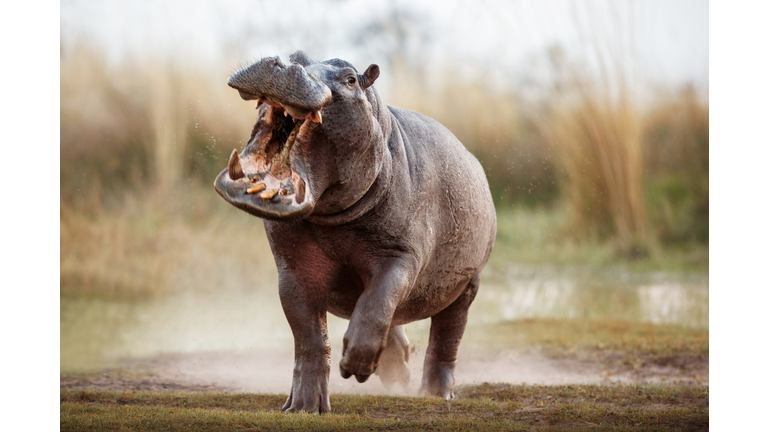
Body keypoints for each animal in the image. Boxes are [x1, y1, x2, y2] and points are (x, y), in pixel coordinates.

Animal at [212, 52, 498, 414]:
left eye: (350, 78)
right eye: (296, 56)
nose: (282, 64)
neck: (333, 219)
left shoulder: (401, 256)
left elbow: (378, 301)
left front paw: (356, 367)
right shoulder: (293, 269)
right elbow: (309, 338)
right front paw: (303, 406)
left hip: (468, 285)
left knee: (447, 337)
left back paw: (435, 392)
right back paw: (397, 370)